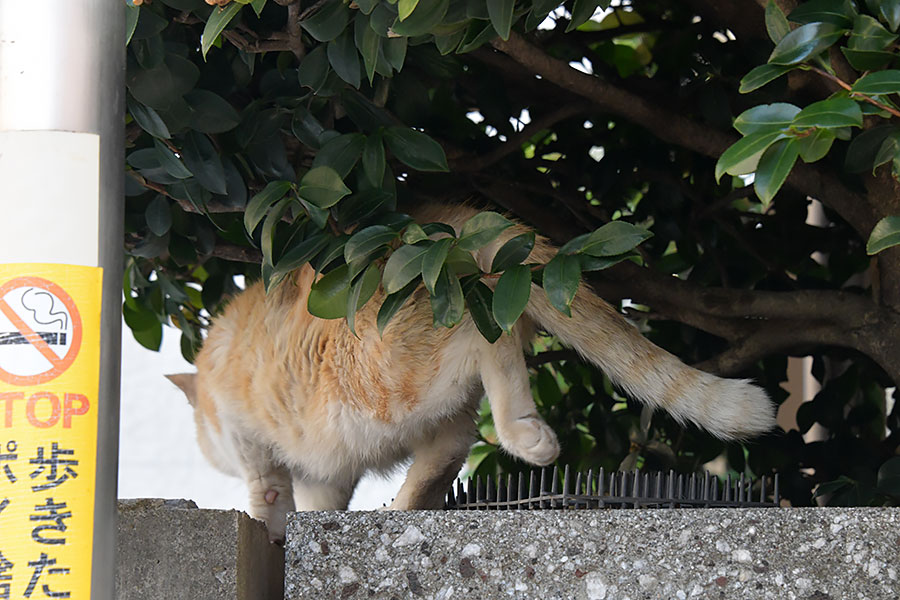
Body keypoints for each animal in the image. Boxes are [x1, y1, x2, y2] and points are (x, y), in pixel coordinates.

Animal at [167, 204, 772, 540]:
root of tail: (452, 225)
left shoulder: (256, 450)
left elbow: (267, 500)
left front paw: (270, 532)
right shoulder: (325, 474)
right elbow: (320, 502)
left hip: (387, 377)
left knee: (489, 335)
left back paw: (525, 435)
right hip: (423, 403)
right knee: (450, 446)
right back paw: (405, 505)